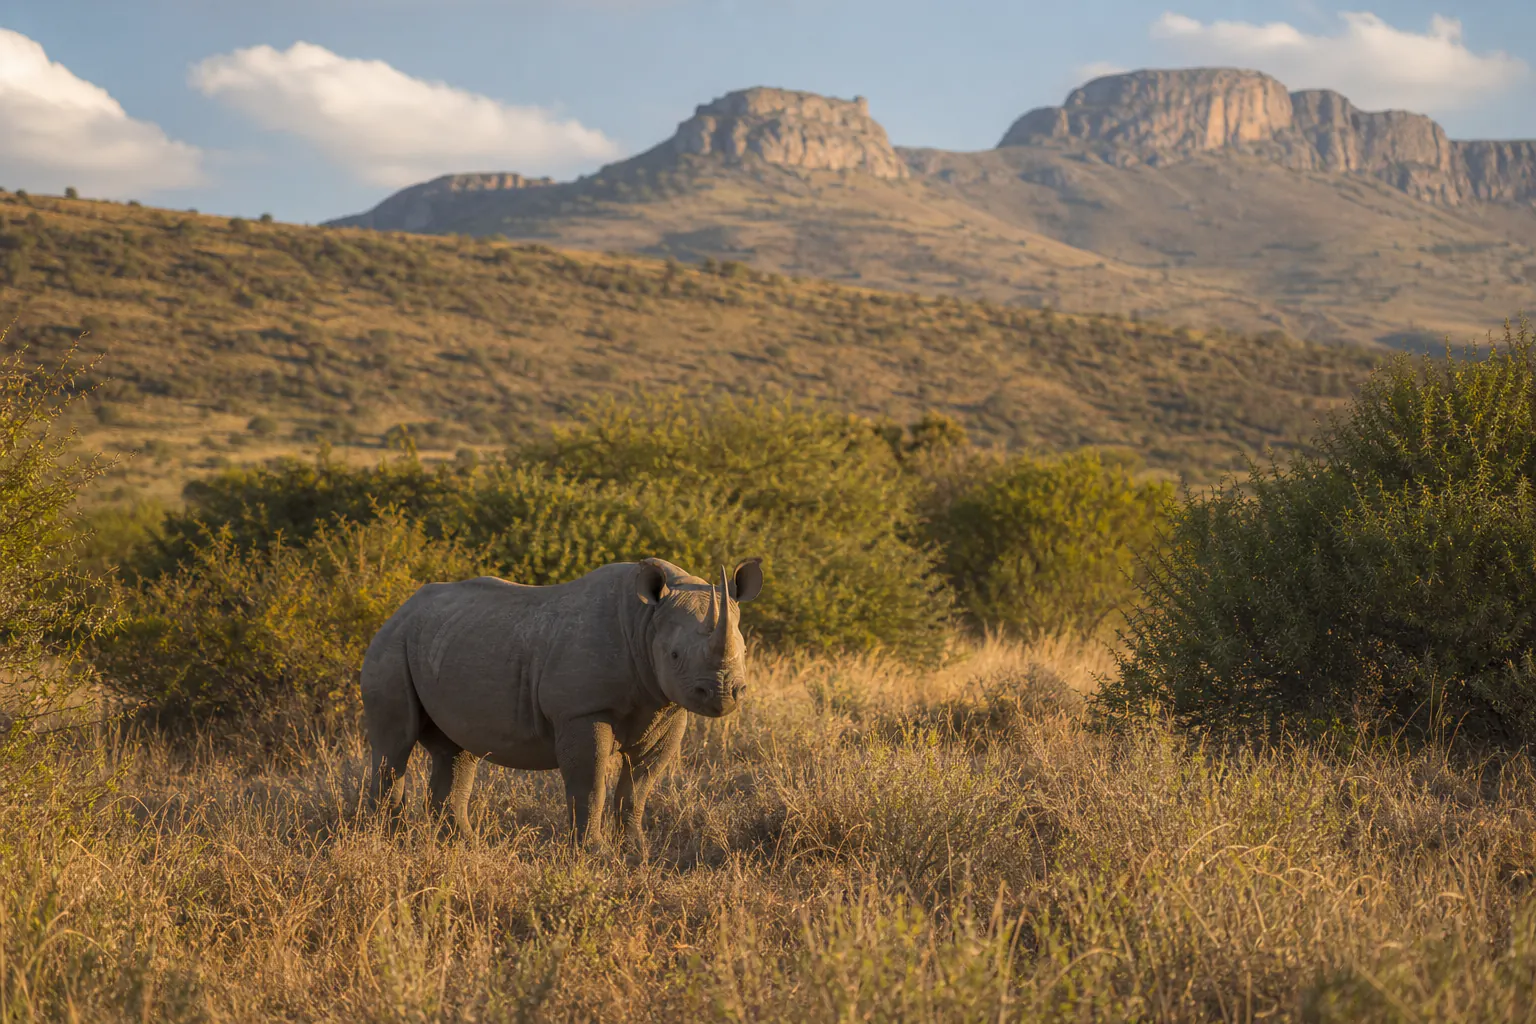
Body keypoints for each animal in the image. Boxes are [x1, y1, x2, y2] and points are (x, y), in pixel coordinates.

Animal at [360, 556, 763, 848]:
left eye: (744, 651)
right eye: (676, 655)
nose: (722, 694)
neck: (646, 622)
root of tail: (399, 609)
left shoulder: (667, 707)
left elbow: (639, 786)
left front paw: (637, 852)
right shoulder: (581, 710)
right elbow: (591, 782)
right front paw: (595, 854)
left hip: (444, 638)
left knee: (457, 752)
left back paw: (463, 846)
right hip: (391, 645)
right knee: (394, 747)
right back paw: (390, 843)